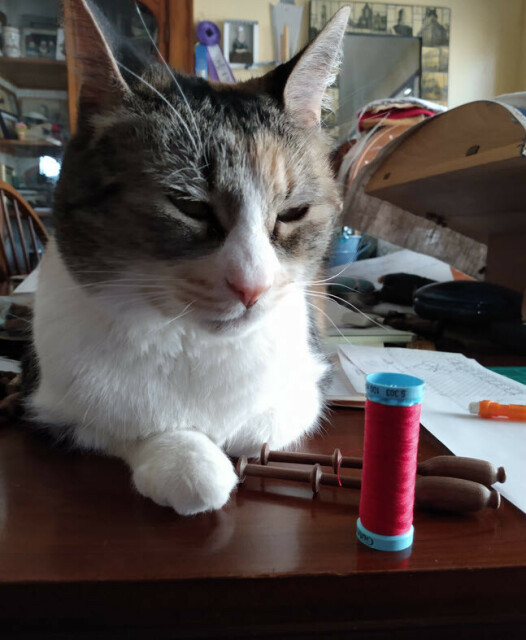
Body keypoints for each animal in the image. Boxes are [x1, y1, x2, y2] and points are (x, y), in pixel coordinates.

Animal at [26, 0, 352, 516]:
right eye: (190, 206)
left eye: (292, 213)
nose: (252, 286)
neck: (198, 346)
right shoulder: (57, 404)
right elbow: (132, 427)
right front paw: (189, 461)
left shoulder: (310, 380)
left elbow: (259, 427)